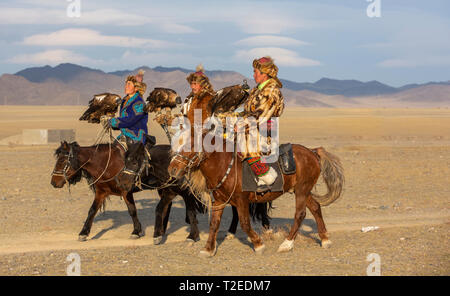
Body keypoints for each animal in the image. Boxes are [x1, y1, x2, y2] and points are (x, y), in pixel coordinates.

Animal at [169, 135, 344, 256]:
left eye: (191, 146)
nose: (172, 169)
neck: (226, 167)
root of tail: (312, 152)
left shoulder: (241, 201)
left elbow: (245, 223)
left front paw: (259, 245)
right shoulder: (219, 201)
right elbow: (214, 224)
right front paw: (208, 249)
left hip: (302, 190)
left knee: (300, 214)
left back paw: (286, 244)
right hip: (302, 190)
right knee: (315, 207)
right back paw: (325, 239)